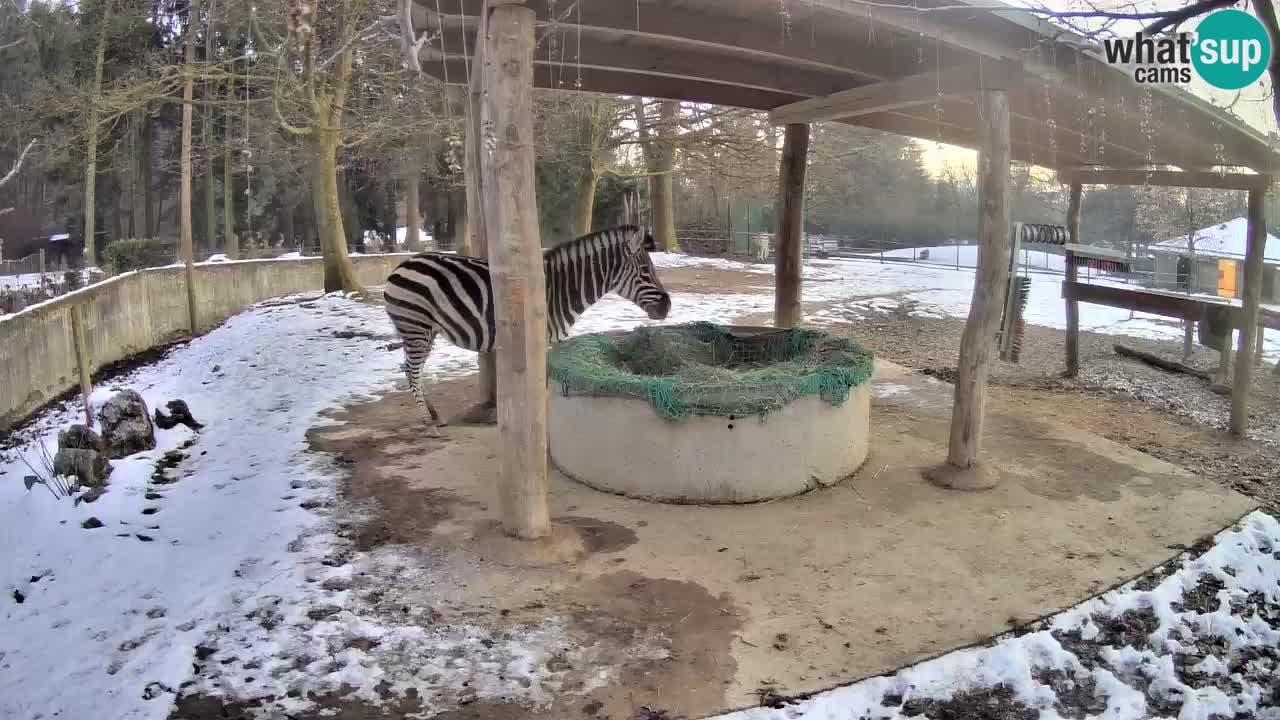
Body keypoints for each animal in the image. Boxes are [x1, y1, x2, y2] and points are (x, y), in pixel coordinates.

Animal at [378, 224, 670, 430]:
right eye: (646, 271)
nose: (667, 306)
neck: (562, 289)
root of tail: (401, 264)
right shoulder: (541, 338)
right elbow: (541, 386)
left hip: (425, 330)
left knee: (410, 370)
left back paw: (434, 415)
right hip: (416, 326)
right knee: (413, 371)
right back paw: (428, 422)